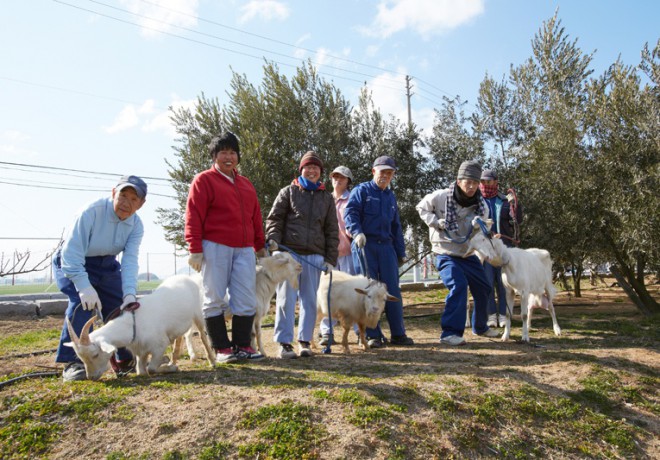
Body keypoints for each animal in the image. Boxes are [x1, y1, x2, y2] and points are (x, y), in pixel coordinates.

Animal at [65, 274, 214, 380]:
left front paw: (171, 368)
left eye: (95, 354)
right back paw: (173, 359)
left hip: (198, 314)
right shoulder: (140, 350)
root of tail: (186, 277)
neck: (133, 325)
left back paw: (212, 361)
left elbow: (151, 369)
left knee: (202, 335)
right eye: (80, 357)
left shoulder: (159, 345)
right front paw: (169, 365)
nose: (91, 377)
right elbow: (140, 372)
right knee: (179, 338)